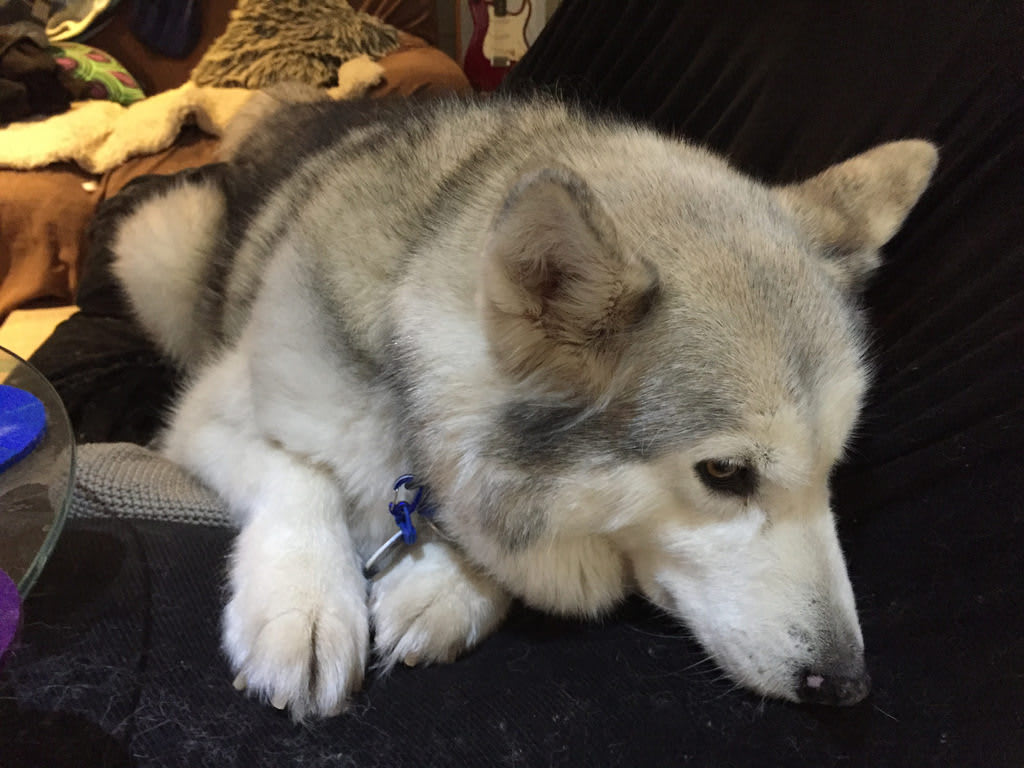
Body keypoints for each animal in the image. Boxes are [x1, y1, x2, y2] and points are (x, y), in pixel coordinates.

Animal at [110, 95, 937, 719]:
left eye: (833, 468)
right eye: (726, 473)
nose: (848, 685)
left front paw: (449, 587)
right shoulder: (204, 417)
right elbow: (299, 474)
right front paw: (304, 603)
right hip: (156, 245)